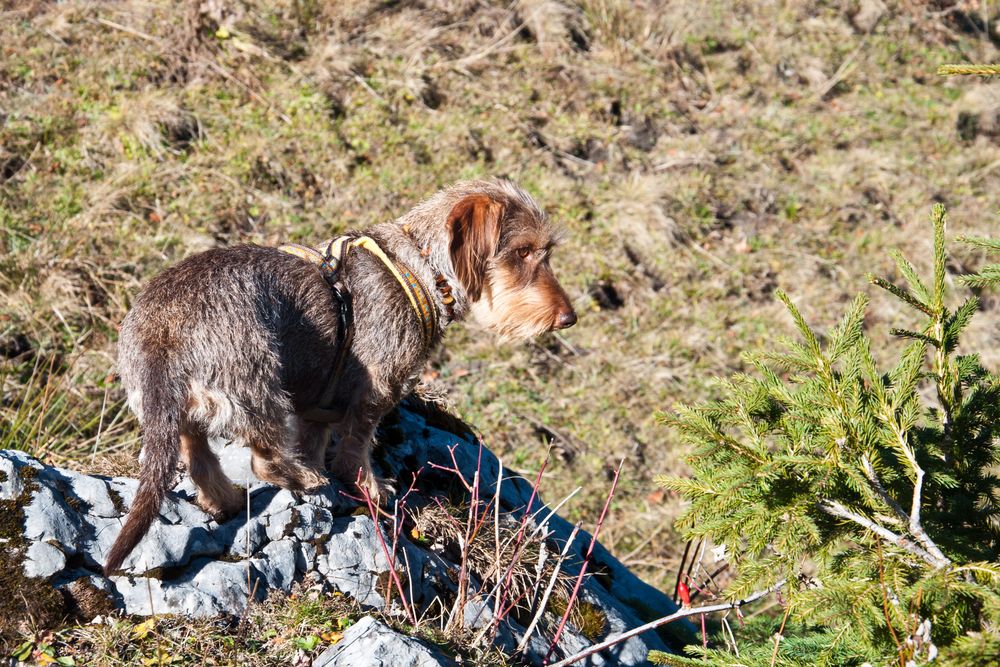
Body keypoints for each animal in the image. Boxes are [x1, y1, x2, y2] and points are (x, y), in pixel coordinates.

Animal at [104, 177, 576, 576]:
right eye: (523, 251)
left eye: (547, 251)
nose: (569, 318)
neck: (419, 271)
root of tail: (160, 332)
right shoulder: (377, 388)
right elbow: (356, 447)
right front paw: (370, 486)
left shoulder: (319, 400)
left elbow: (317, 438)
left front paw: (322, 464)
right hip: (260, 383)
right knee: (263, 459)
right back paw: (302, 479)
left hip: (186, 414)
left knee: (200, 459)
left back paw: (228, 498)